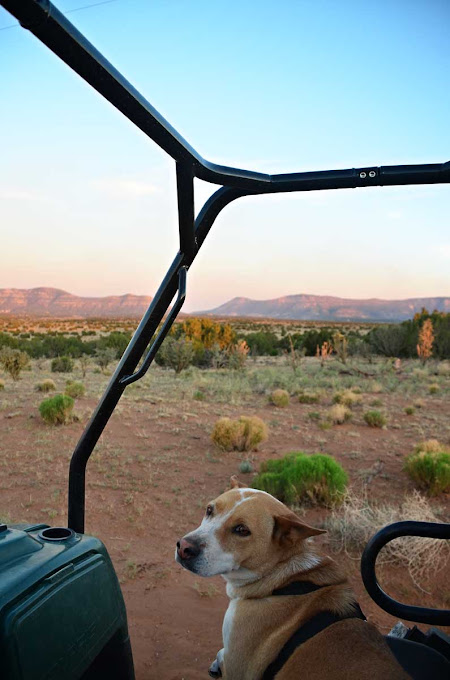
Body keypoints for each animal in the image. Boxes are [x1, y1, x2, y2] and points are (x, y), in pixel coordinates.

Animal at [176, 477, 410, 679]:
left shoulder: (237, 669)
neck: (284, 580)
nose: (184, 547)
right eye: (209, 510)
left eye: (241, 530)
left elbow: (223, 655)